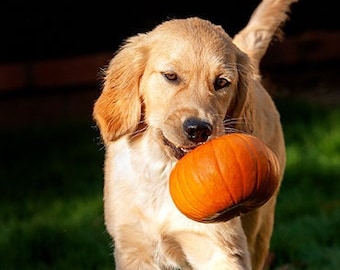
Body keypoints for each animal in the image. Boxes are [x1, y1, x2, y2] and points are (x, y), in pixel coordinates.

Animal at [93, 0, 298, 270]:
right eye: (170, 76)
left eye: (221, 82)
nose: (198, 129)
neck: (164, 171)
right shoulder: (134, 248)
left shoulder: (220, 248)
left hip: (259, 225)